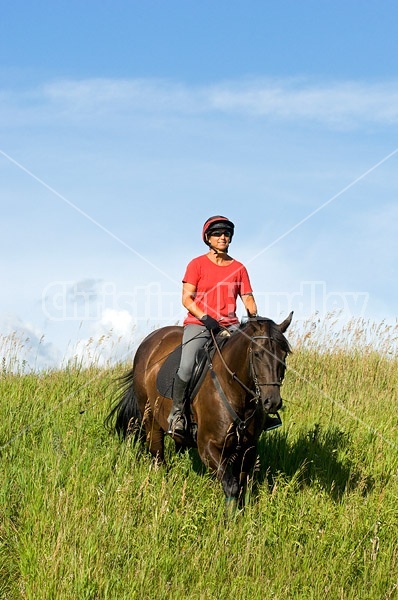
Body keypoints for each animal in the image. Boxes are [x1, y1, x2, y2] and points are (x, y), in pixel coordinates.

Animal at [105, 314, 292, 506]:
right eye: (257, 354)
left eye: (283, 354)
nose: (272, 402)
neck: (234, 390)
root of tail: (149, 341)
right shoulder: (207, 446)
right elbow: (231, 486)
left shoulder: (249, 448)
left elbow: (241, 486)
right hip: (151, 420)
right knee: (158, 458)